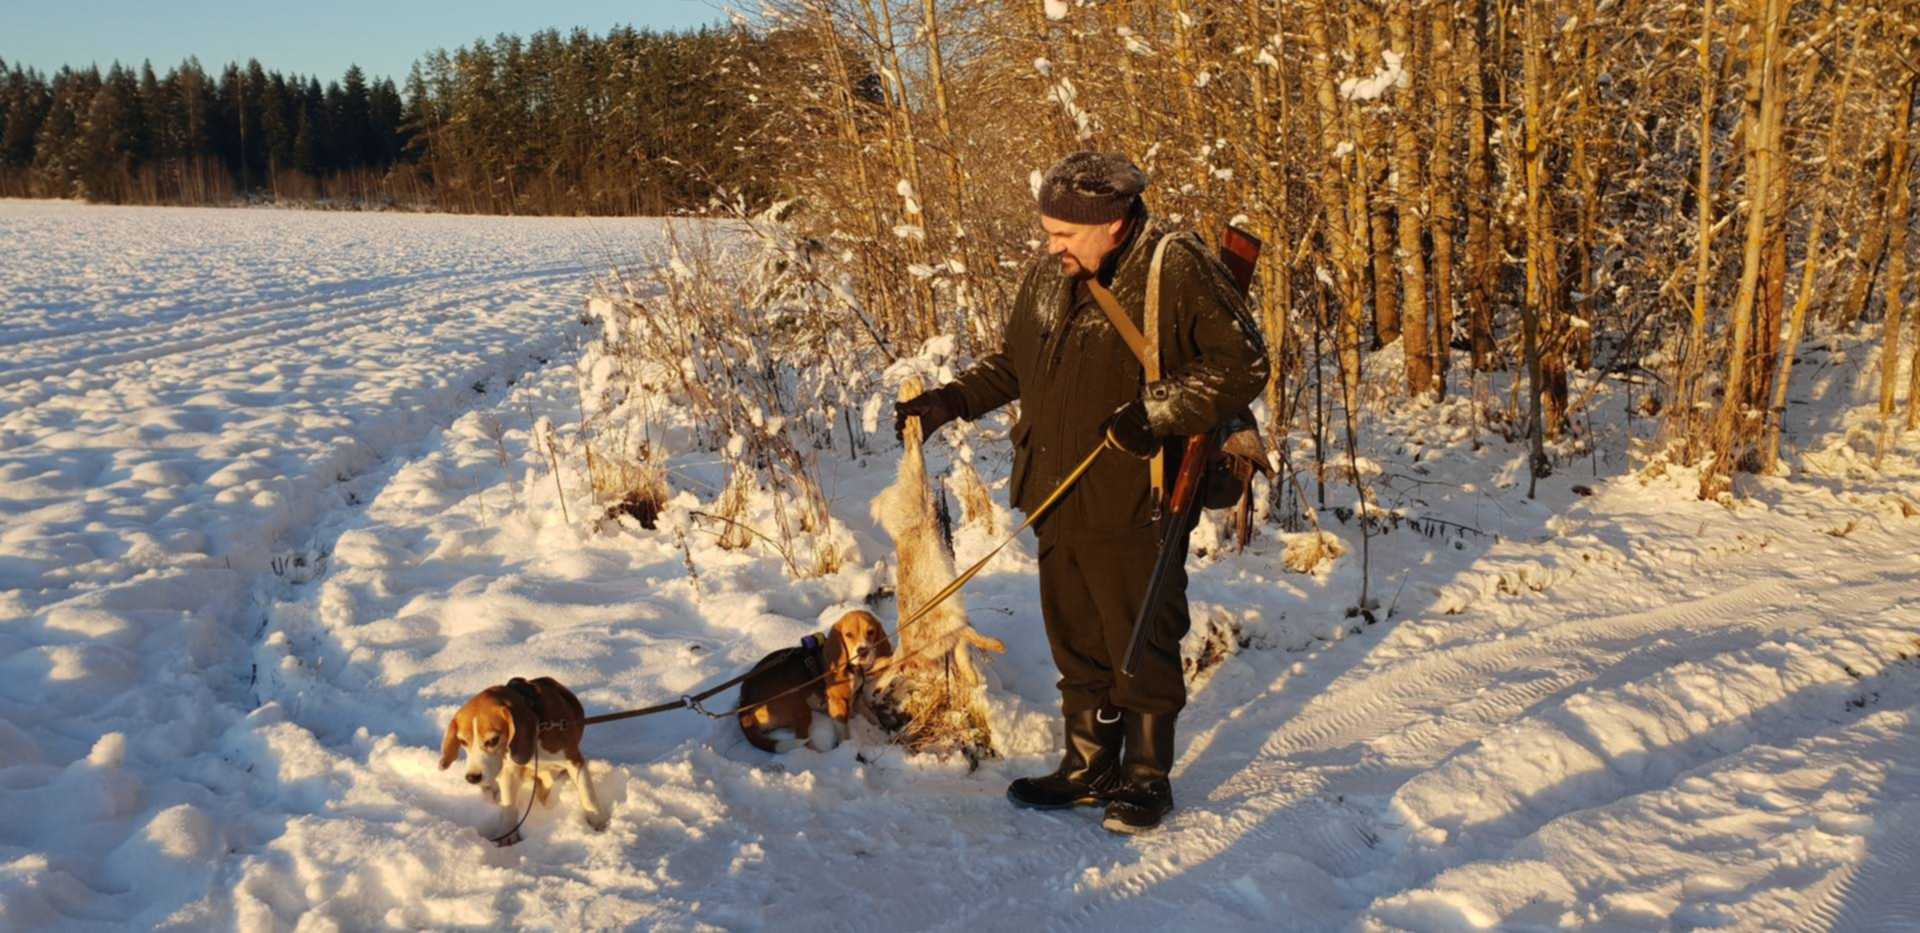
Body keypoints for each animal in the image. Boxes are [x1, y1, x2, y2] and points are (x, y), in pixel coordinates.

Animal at [441, 675, 606, 840]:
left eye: (493, 740)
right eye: (463, 741)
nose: (472, 778)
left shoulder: (573, 760)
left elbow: (587, 792)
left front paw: (597, 820)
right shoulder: (509, 770)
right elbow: (508, 805)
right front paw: (507, 835)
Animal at [737, 610, 894, 752]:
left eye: (871, 632)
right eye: (848, 635)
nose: (863, 651)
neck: (853, 668)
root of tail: (744, 702)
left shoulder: (857, 698)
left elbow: (872, 716)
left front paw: (881, 730)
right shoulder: (838, 703)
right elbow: (844, 733)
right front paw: (846, 749)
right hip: (799, 706)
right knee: (803, 742)